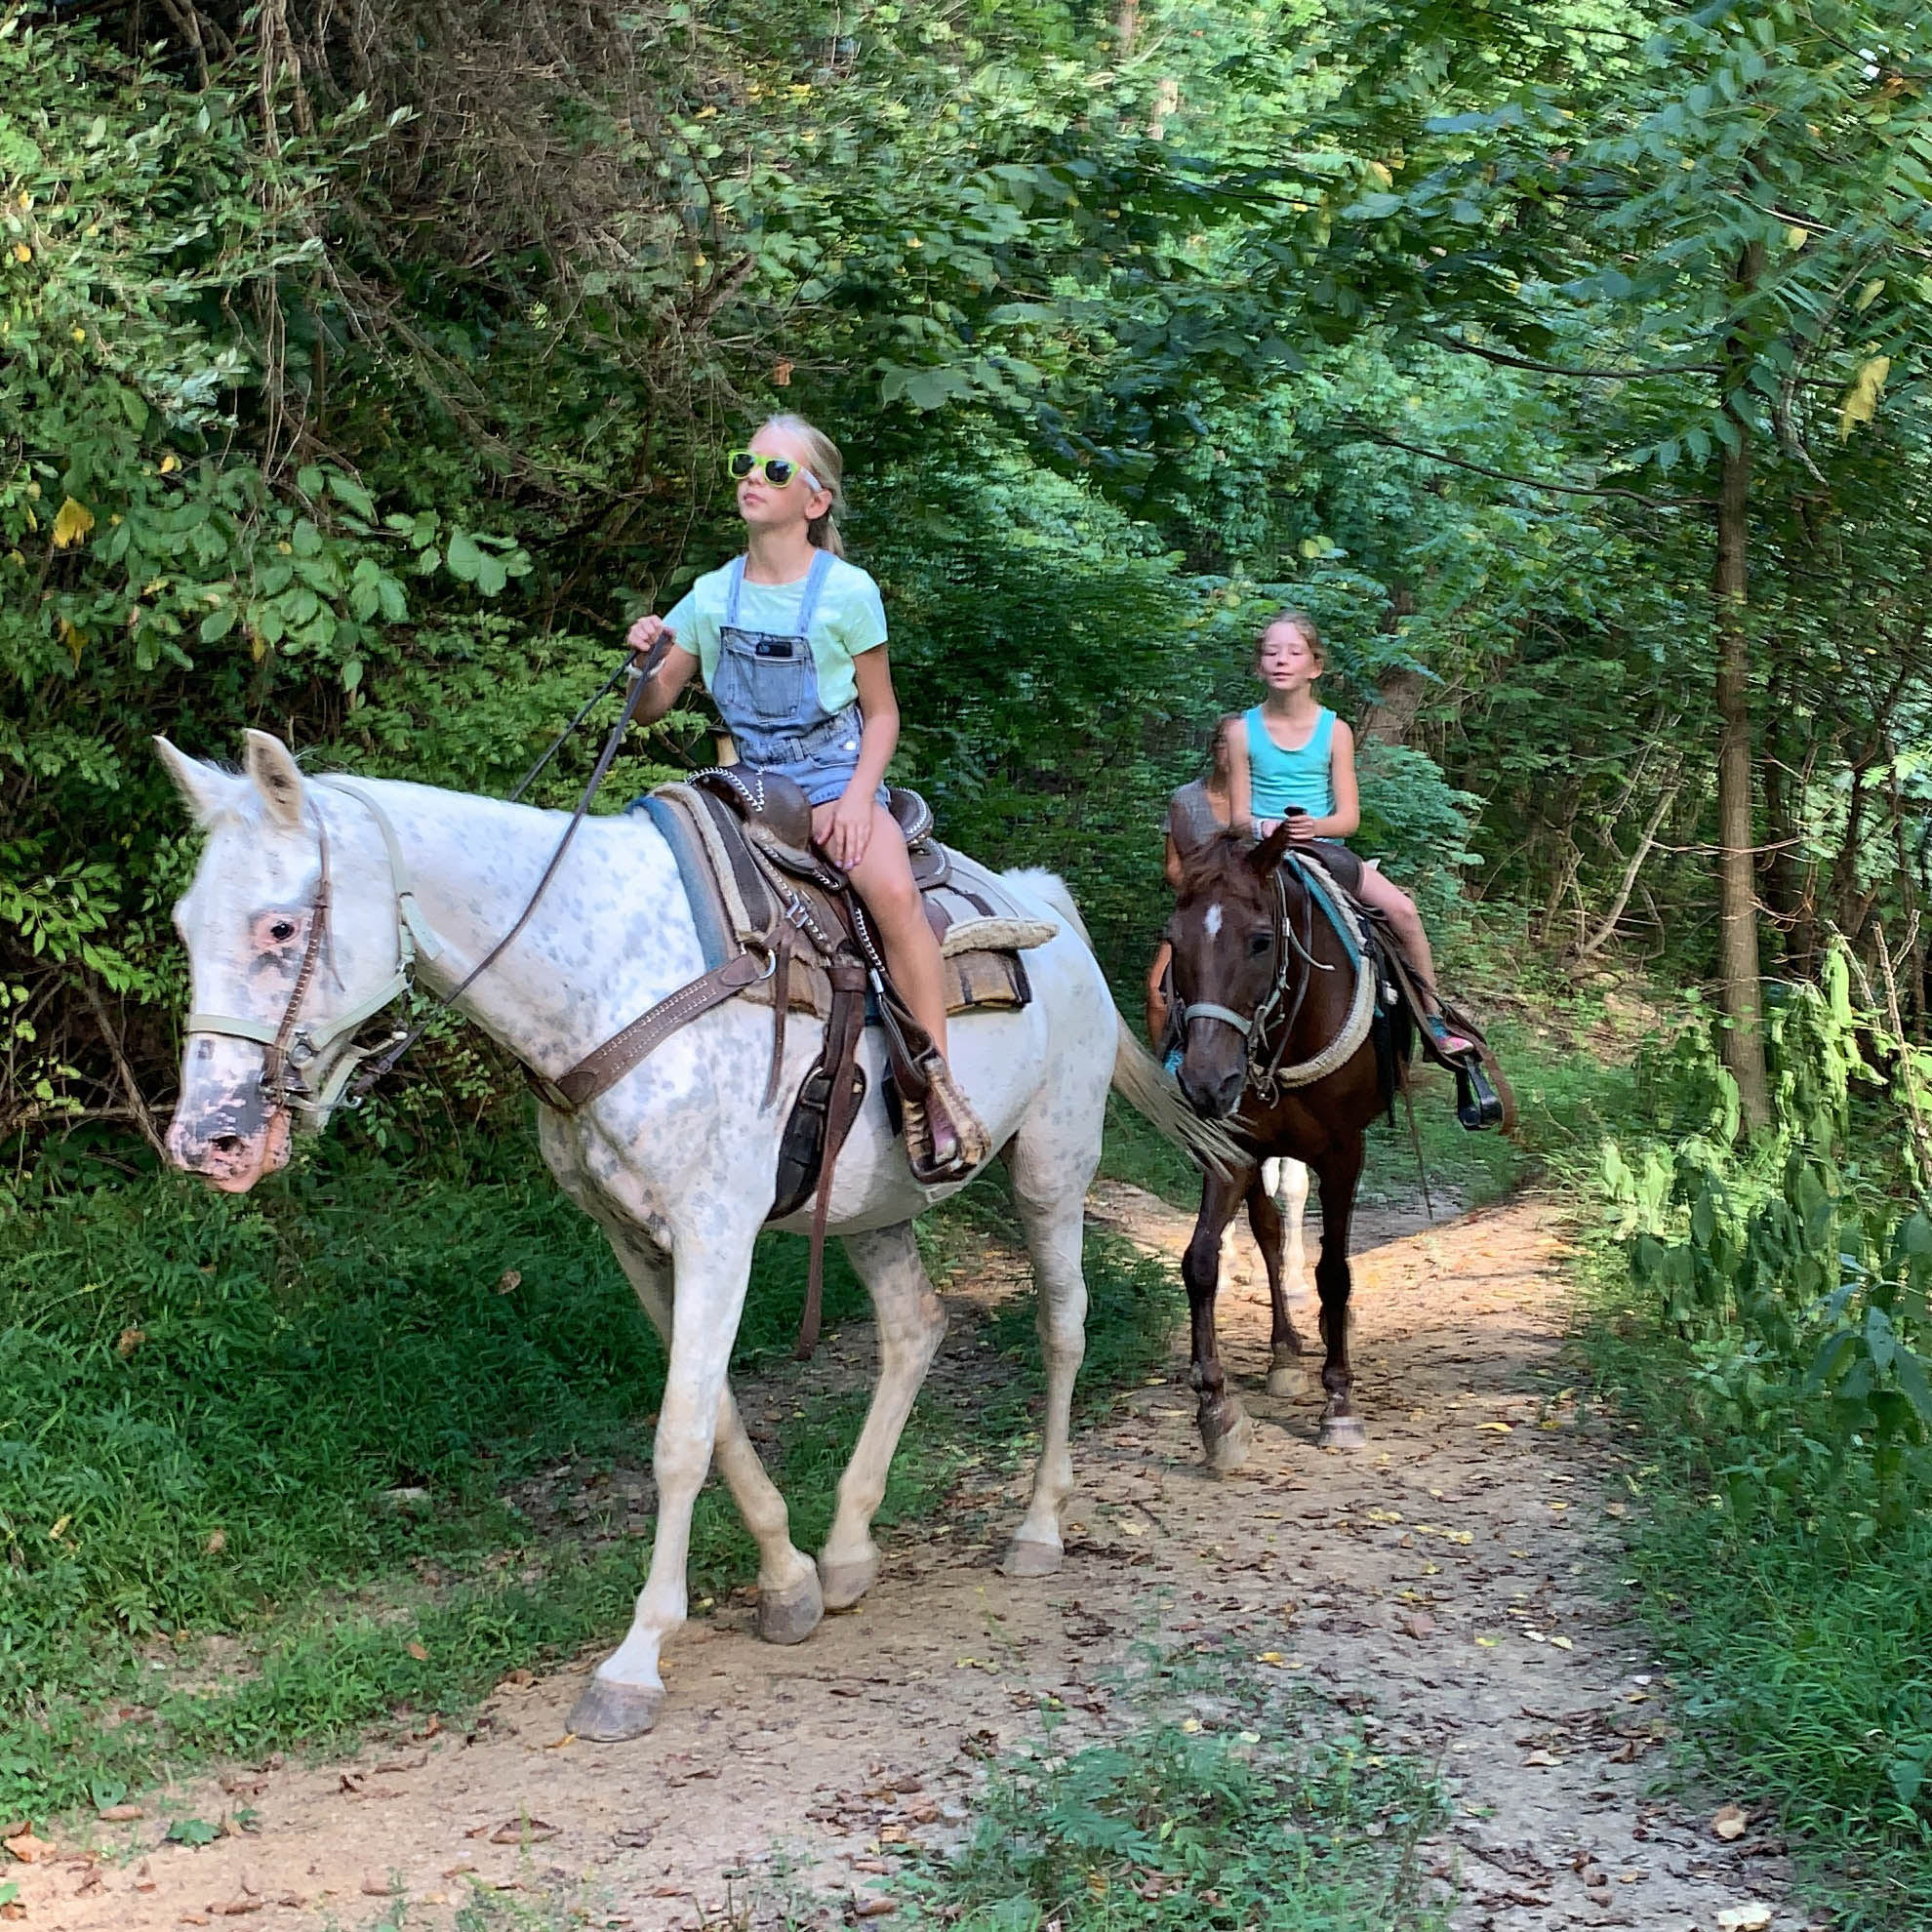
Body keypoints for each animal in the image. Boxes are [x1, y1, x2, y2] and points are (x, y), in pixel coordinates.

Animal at [1159, 819, 1390, 1460]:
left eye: (1262, 942)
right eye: (1173, 941)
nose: (1206, 1081)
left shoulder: (1344, 1152)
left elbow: (1334, 1271)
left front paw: (1339, 1402)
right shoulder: (1230, 1147)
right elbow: (1200, 1261)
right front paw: (1215, 1409)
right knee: (1269, 1227)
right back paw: (1284, 1350)